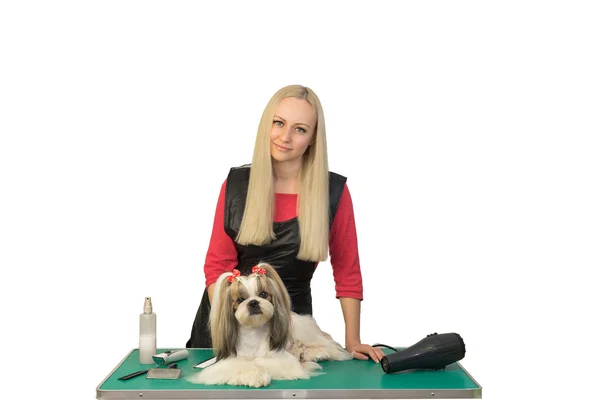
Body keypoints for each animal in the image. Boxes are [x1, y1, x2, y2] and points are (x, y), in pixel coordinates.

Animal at [189, 262, 352, 388]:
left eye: (263, 294)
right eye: (240, 300)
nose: (253, 302)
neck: (253, 334)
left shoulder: (284, 361)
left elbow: (260, 360)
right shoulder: (223, 365)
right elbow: (241, 364)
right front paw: (253, 376)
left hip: (304, 331)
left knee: (329, 345)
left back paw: (315, 353)